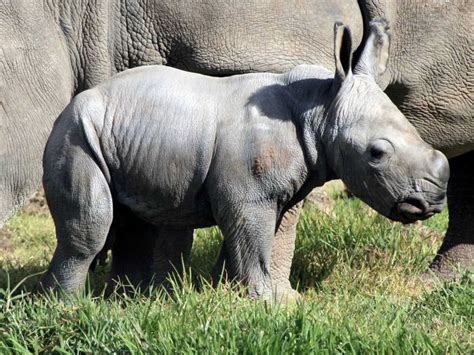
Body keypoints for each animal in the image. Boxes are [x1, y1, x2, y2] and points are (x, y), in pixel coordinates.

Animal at [0, 0, 470, 290]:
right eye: (377, 154)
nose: (431, 201)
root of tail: (71, 109)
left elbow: (264, 232)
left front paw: (240, 295)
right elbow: (245, 234)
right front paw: (267, 301)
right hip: (78, 134)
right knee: (94, 223)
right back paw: (70, 307)